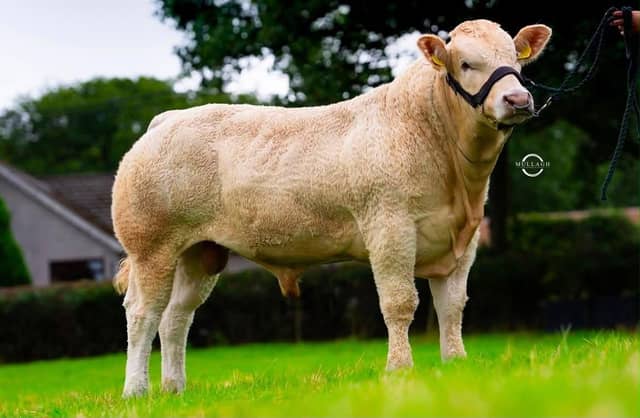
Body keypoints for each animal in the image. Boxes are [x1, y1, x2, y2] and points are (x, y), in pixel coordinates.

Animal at [112, 19, 551, 397]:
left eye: (516, 61)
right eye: (466, 63)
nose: (517, 98)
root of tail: (167, 120)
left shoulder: (463, 239)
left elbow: (452, 306)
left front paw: (455, 364)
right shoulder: (389, 228)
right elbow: (399, 303)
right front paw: (399, 369)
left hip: (200, 252)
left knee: (176, 317)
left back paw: (174, 389)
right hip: (151, 246)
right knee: (142, 313)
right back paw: (136, 390)